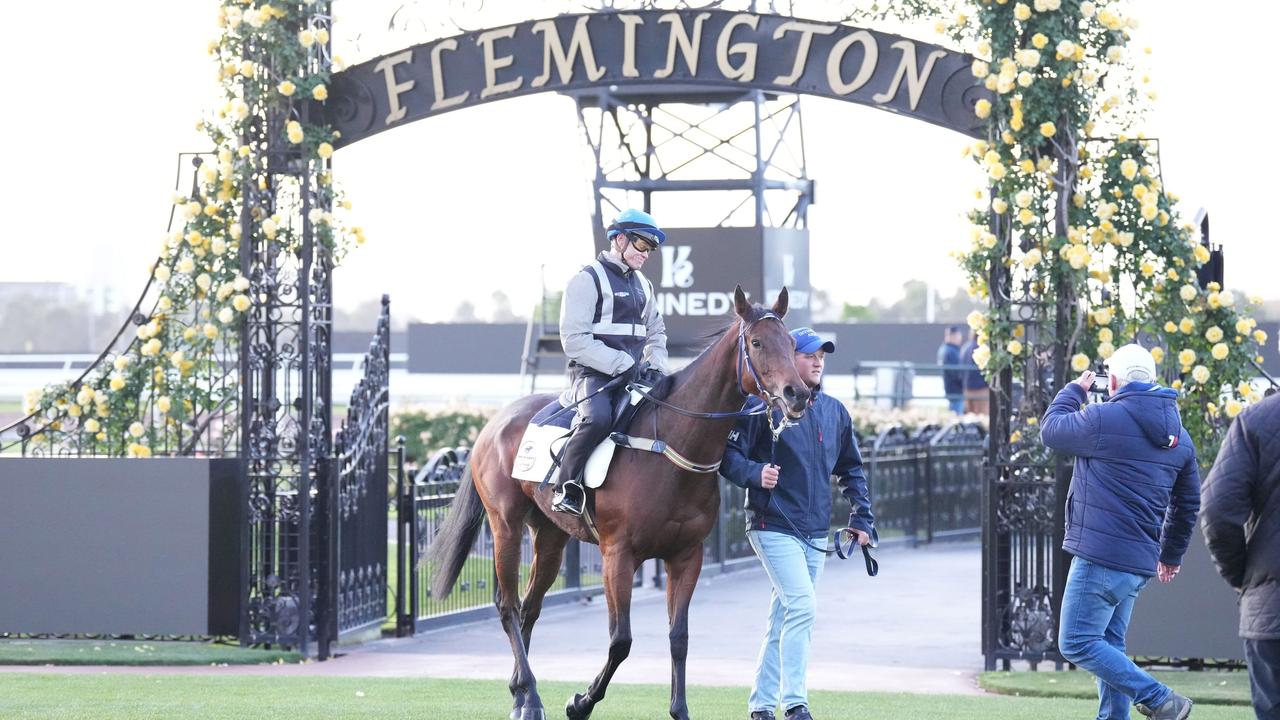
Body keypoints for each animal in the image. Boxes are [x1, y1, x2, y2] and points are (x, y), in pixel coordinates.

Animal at [427, 283, 808, 712]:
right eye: (757, 342)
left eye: (792, 343)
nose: (798, 394)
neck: (669, 444)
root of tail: (494, 422)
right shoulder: (618, 556)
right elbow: (621, 640)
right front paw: (581, 702)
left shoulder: (686, 556)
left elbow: (679, 637)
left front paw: (679, 709)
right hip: (505, 525)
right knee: (508, 606)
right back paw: (531, 692)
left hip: (551, 537)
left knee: (530, 607)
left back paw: (520, 694)